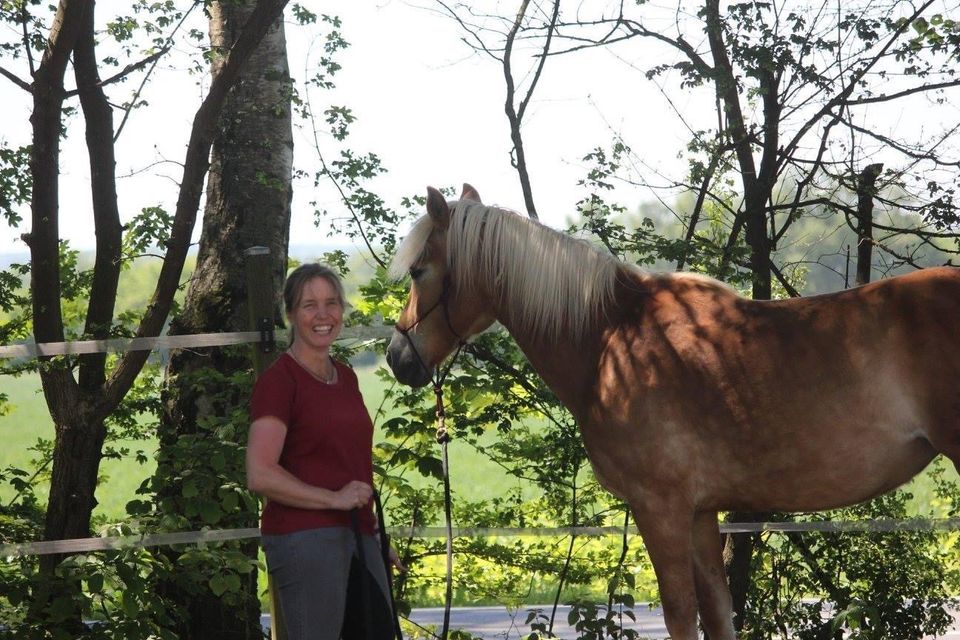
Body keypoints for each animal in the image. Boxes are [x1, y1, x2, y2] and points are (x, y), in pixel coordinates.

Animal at [384, 182, 960, 636]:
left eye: (418, 271)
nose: (397, 357)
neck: (608, 340)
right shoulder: (702, 514)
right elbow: (719, 614)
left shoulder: (659, 509)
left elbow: (681, 615)